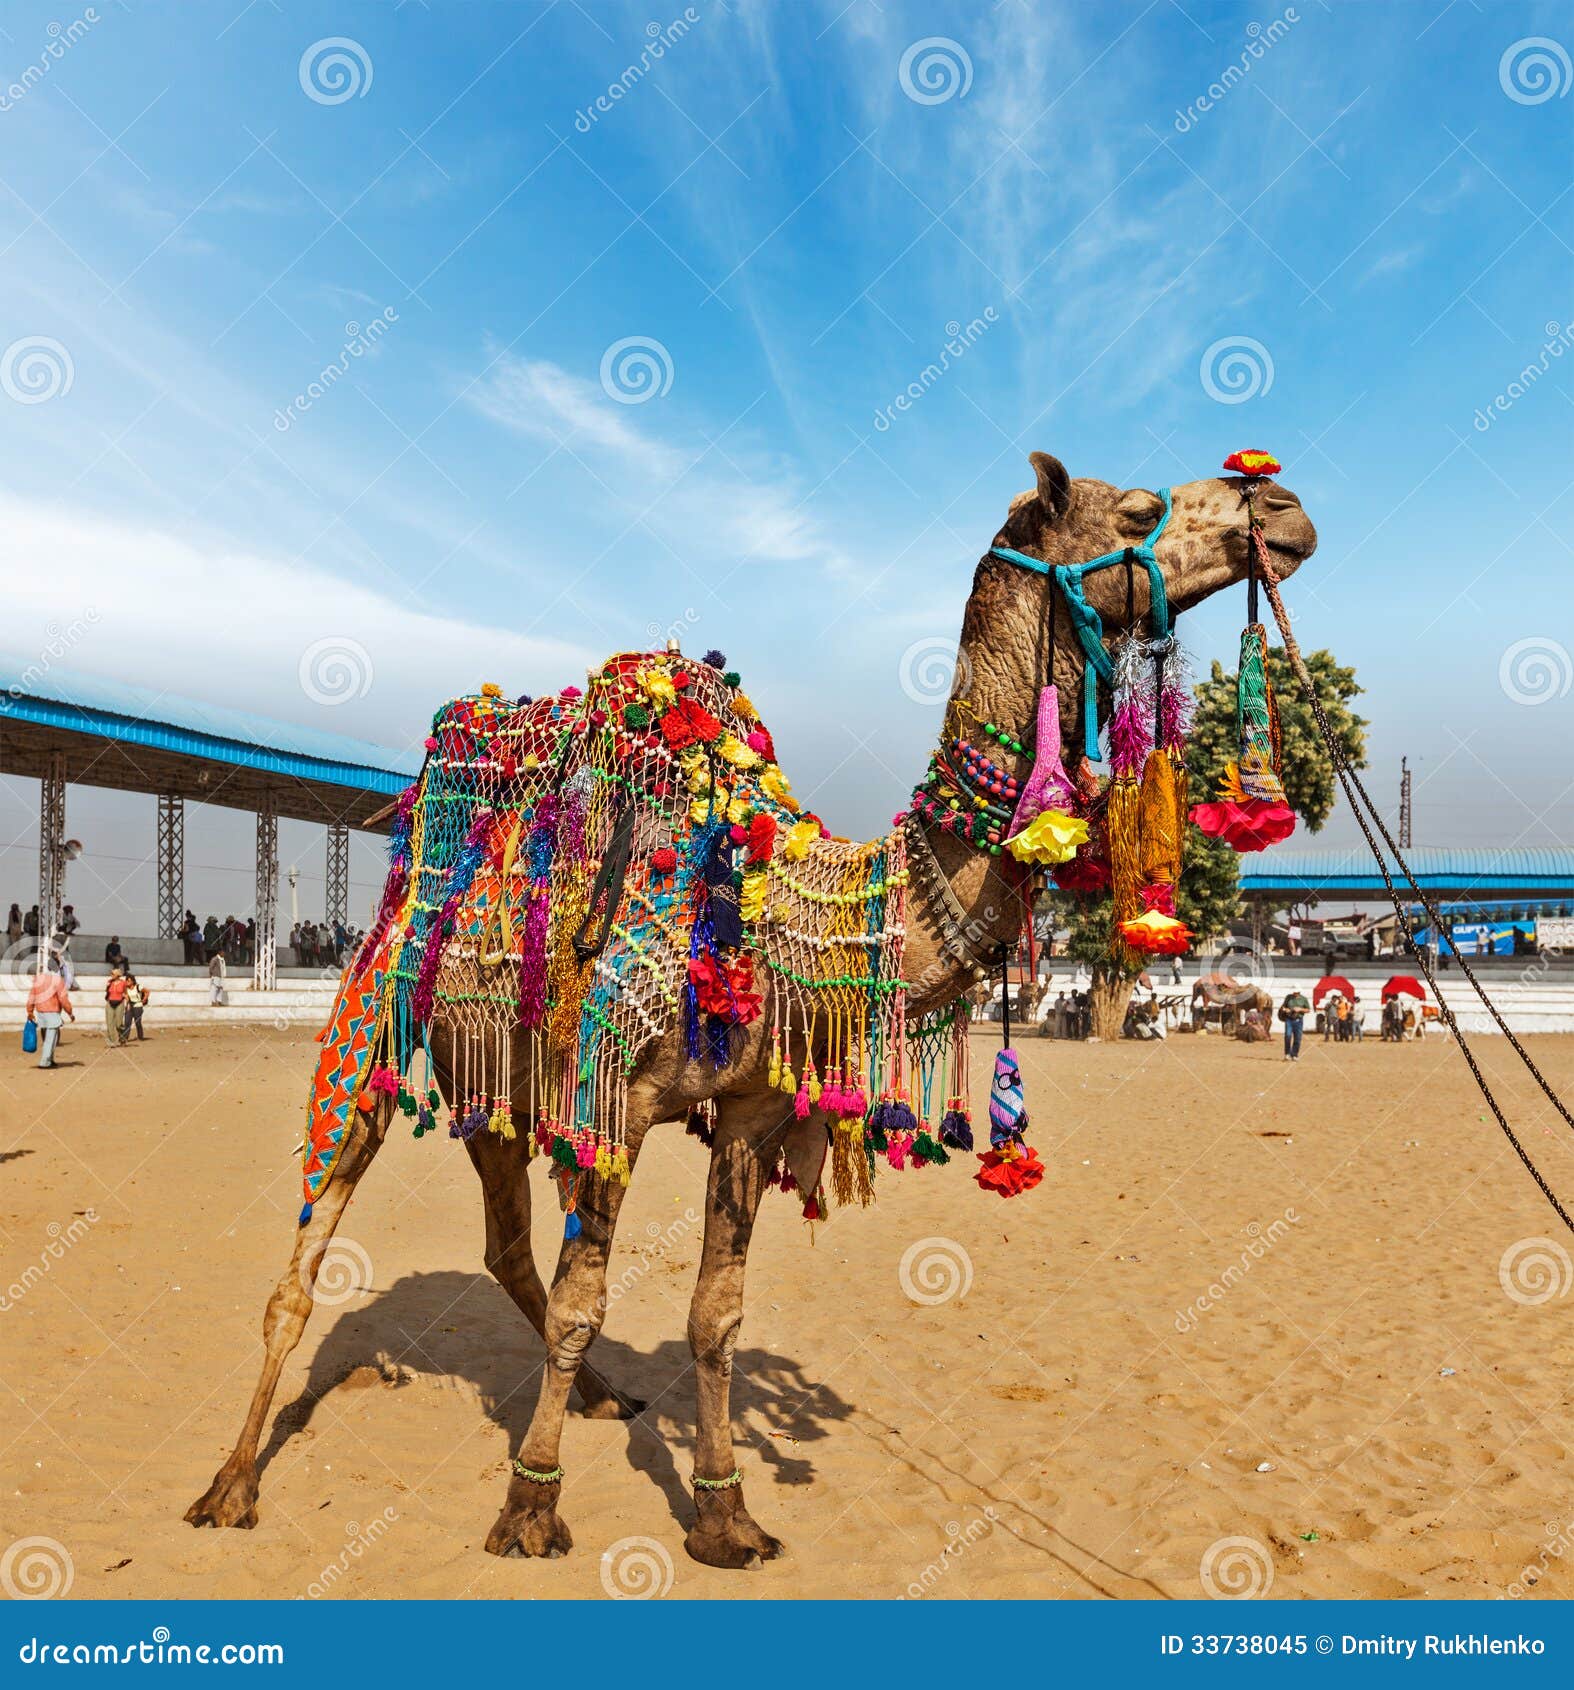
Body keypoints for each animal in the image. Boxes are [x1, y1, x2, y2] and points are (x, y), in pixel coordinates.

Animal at [184, 452, 1318, 1568]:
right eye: (1133, 506)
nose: (1281, 503)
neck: (782, 910)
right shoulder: (617, 1097)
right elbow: (584, 1305)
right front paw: (529, 1507)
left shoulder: (750, 1110)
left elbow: (713, 1315)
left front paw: (725, 1517)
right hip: (372, 1019)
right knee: (312, 1254)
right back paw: (231, 1483)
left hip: (496, 1082)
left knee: (506, 1243)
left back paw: (606, 1400)